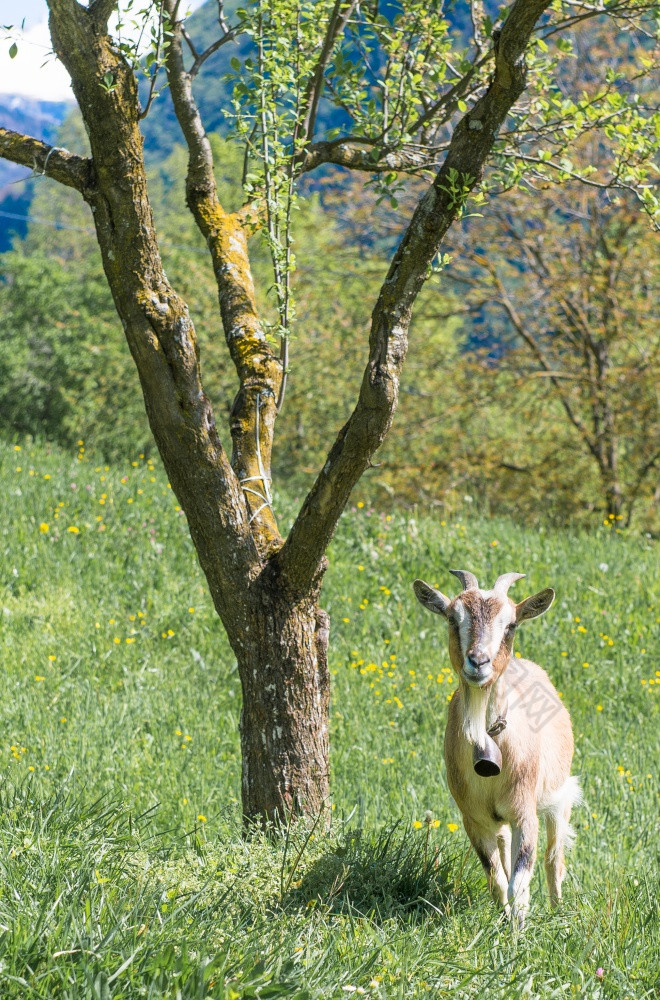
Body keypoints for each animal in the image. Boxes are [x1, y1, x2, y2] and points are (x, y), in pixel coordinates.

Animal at [416, 568, 580, 924]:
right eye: (453, 618)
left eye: (511, 625)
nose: (479, 661)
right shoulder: (474, 818)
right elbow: (496, 878)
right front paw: (503, 921)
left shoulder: (524, 812)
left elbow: (519, 882)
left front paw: (519, 928)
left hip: (559, 795)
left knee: (554, 858)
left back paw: (559, 911)